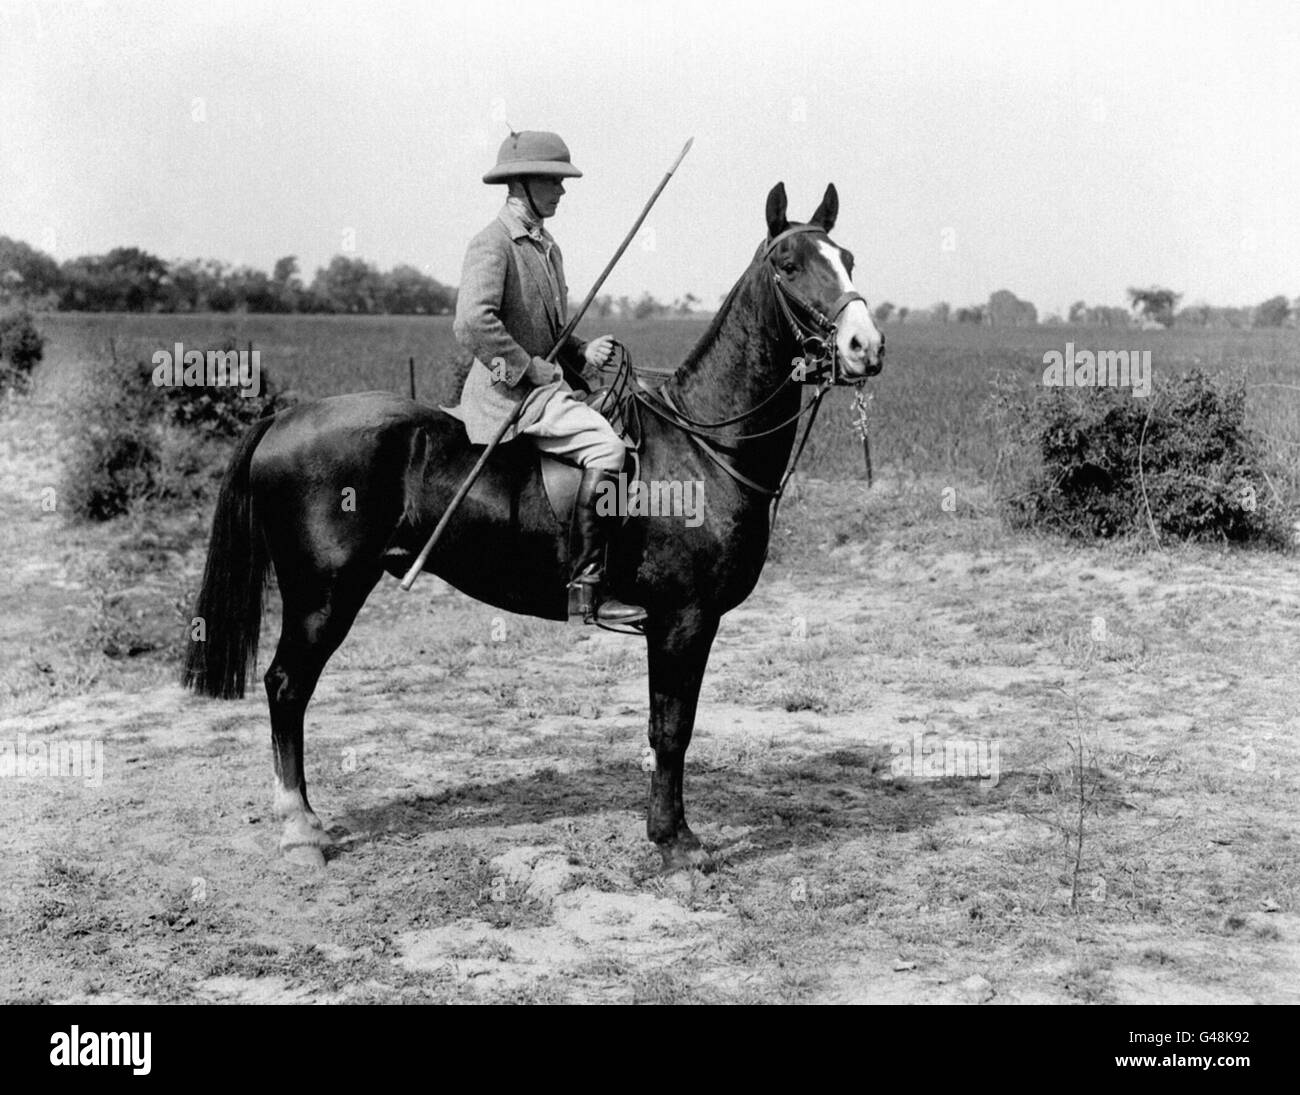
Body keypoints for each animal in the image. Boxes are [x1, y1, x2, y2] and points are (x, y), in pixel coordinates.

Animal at [180, 180, 883, 868]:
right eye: (788, 265)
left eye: (848, 258)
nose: (866, 348)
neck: (701, 444)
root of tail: (283, 418)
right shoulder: (683, 618)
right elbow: (671, 728)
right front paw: (673, 840)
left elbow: (669, 725)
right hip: (322, 597)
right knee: (286, 685)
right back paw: (299, 828)